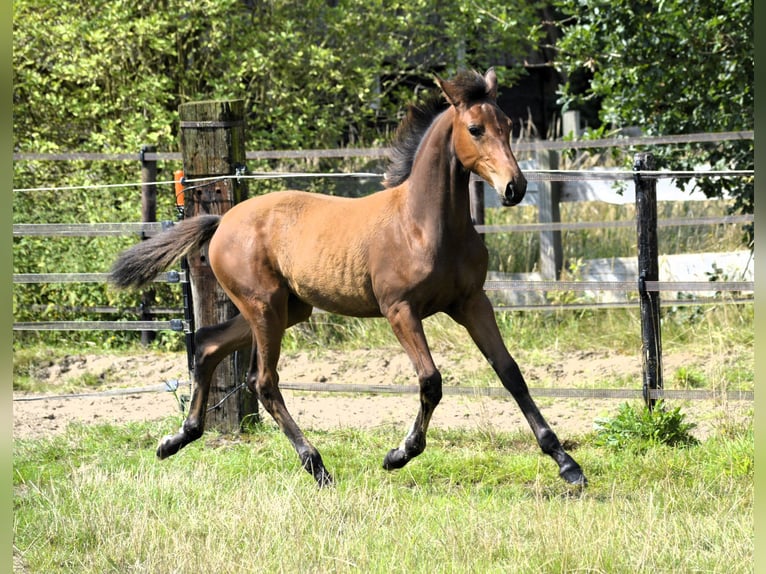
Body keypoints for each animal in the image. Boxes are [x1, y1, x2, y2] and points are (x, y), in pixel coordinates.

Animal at [109, 70, 588, 488]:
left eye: (506, 125)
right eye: (474, 129)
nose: (515, 187)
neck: (424, 225)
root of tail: (222, 219)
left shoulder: (471, 302)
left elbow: (510, 372)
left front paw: (567, 464)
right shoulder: (400, 310)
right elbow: (431, 381)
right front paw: (399, 454)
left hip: (286, 310)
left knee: (208, 345)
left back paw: (177, 439)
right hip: (264, 307)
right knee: (262, 381)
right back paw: (316, 466)